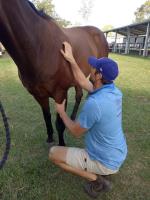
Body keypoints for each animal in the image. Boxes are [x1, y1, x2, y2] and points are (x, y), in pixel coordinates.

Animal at [0, 0, 108, 146]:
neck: (39, 47)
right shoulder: (39, 95)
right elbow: (47, 116)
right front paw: (50, 137)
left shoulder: (60, 93)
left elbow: (59, 124)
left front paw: (61, 145)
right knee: (79, 95)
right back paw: (73, 117)